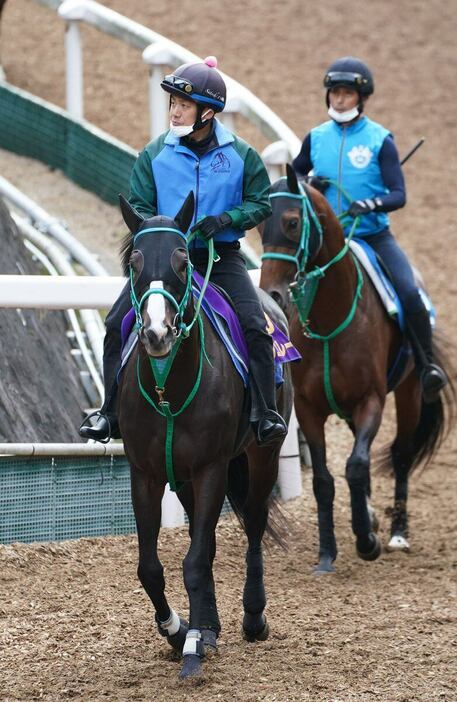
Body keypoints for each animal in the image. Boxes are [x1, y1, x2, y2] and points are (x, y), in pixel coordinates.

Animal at [116, 192, 290, 680]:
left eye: (181, 261)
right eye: (134, 261)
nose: (156, 333)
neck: (168, 390)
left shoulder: (212, 467)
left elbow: (195, 560)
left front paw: (193, 643)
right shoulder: (147, 473)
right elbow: (151, 567)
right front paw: (180, 630)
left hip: (262, 455)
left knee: (253, 524)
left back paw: (253, 618)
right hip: (185, 478)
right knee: (203, 535)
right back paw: (208, 624)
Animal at [258, 168, 454, 576]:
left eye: (292, 222)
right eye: (259, 225)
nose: (273, 293)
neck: (332, 319)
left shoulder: (370, 401)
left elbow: (357, 465)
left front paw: (367, 541)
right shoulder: (309, 409)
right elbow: (323, 480)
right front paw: (326, 554)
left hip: (410, 393)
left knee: (401, 454)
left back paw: (396, 532)